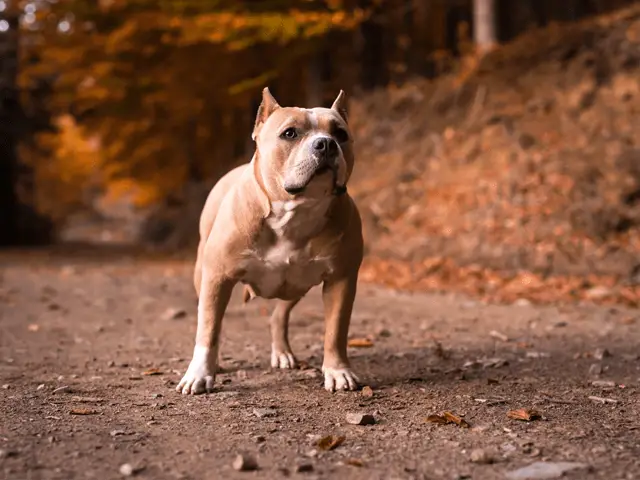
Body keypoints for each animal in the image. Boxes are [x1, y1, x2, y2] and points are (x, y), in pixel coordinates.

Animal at [178, 86, 362, 394]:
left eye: (341, 134)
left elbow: (336, 330)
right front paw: (200, 374)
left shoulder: (341, 280)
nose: (326, 144)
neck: (294, 212)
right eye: (290, 133)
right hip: (201, 274)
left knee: (279, 316)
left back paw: (282, 352)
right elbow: (208, 329)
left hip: (295, 285)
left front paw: (338, 371)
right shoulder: (216, 277)